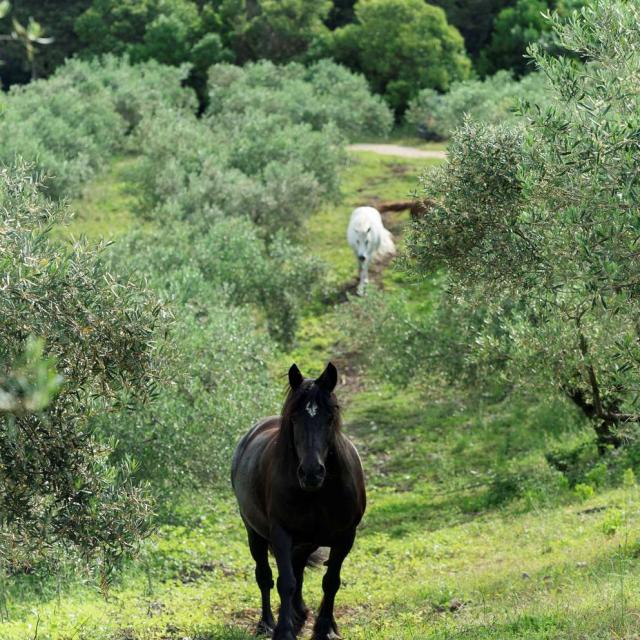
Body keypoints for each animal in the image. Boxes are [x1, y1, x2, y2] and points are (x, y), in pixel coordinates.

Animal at [232, 362, 368, 636]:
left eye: (329, 417)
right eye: (294, 418)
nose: (311, 472)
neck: (319, 493)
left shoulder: (346, 536)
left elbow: (331, 581)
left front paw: (325, 629)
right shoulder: (281, 533)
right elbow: (286, 582)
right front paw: (284, 631)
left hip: (307, 542)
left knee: (299, 568)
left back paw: (300, 614)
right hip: (255, 533)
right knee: (264, 576)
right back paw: (267, 623)